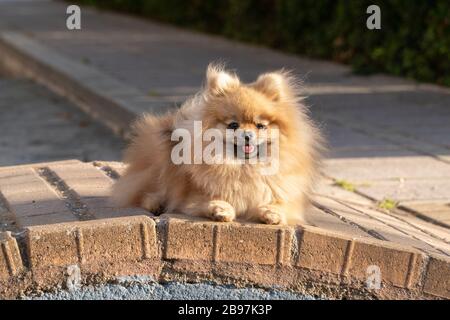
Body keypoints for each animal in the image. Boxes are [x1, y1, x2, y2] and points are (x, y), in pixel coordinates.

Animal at [112, 64, 324, 225]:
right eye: (233, 125)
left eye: (260, 126)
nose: (247, 135)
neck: (244, 167)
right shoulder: (191, 197)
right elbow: (209, 200)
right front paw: (221, 209)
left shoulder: (285, 196)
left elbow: (280, 204)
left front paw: (271, 213)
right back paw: (155, 203)